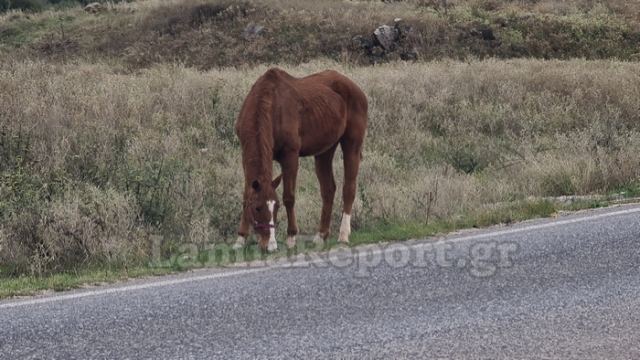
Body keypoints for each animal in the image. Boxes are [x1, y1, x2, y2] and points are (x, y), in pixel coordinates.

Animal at [232, 68, 368, 253]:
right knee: (328, 190)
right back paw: (321, 235)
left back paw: (343, 235)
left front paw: (291, 237)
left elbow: (289, 197)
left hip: (352, 144)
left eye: (276, 206)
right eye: (258, 207)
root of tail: (355, 88)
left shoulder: (290, 156)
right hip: (325, 150)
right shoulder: (245, 156)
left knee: (349, 188)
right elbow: (246, 195)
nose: (270, 245)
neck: (270, 105)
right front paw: (240, 238)